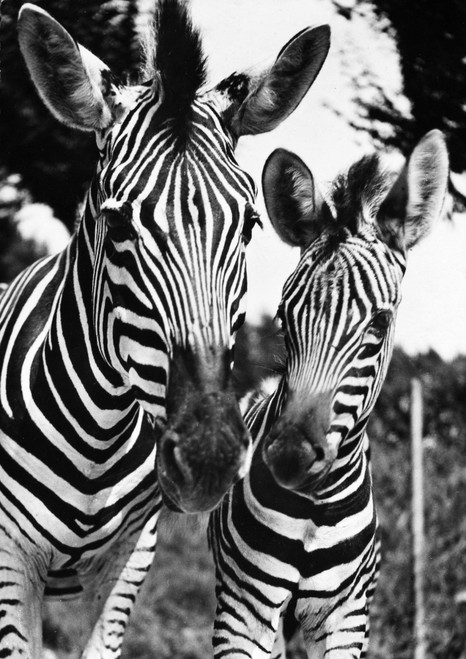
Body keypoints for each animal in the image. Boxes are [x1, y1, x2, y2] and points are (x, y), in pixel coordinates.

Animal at [0, 2, 331, 657]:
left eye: (250, 225)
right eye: (116, 225)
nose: (209, 457)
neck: (96, 440)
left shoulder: (134, 554)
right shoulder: (10, 555)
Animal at [209, 129, 449, 659]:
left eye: (378, 323)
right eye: (283, 316)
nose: (289, 458)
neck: (314, 509)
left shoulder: (346, 618)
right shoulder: (243, 610)